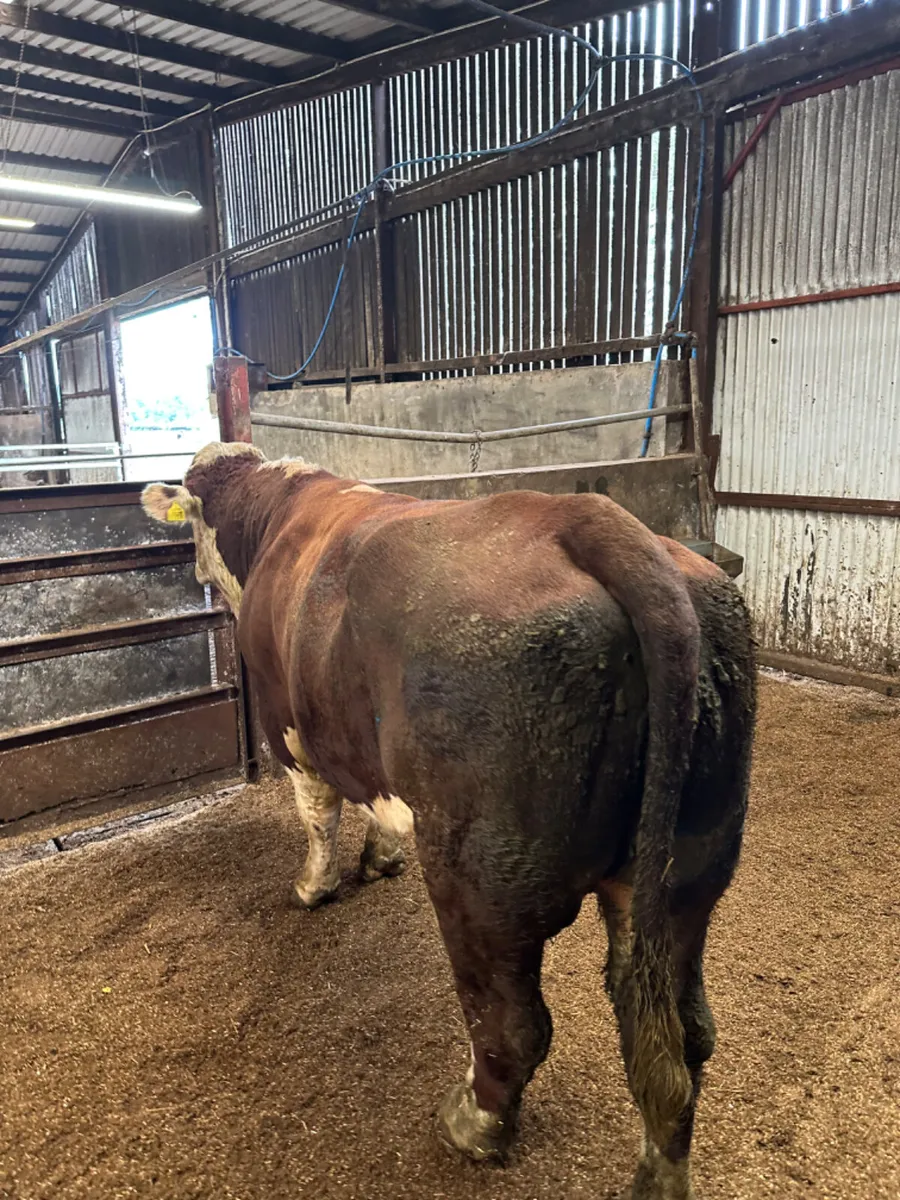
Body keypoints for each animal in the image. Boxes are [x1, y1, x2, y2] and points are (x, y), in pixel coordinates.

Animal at [141, 441, 756, 1200]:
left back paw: (473, 1124)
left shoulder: (291, 726)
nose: (193, 571)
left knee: (515, 1025)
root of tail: (583, 516)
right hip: (685, 875)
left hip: (483, 882)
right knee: (682, 1037)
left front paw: (313, 886)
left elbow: (317, 813)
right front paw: (380, 858)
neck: (278, 517)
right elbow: (373, 805)